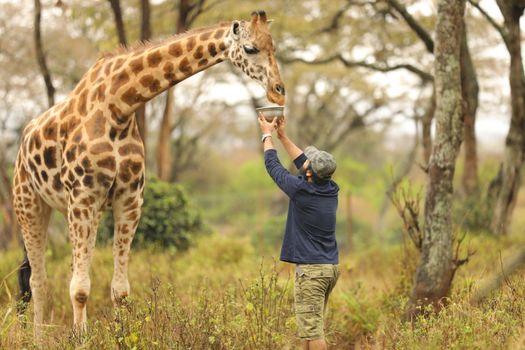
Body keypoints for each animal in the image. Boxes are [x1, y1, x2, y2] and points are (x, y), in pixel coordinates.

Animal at [13, 10, 282, 336]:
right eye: (250, 48)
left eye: (274, 46)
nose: (279, 92)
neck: (119, 107)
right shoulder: (83, 197)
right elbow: (80, 288)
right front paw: (81, 338)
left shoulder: (128, 200)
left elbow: (119, 290)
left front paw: (120, 335)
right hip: (29, 203)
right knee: (37, 280)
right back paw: (38, 338)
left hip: (72, 209)